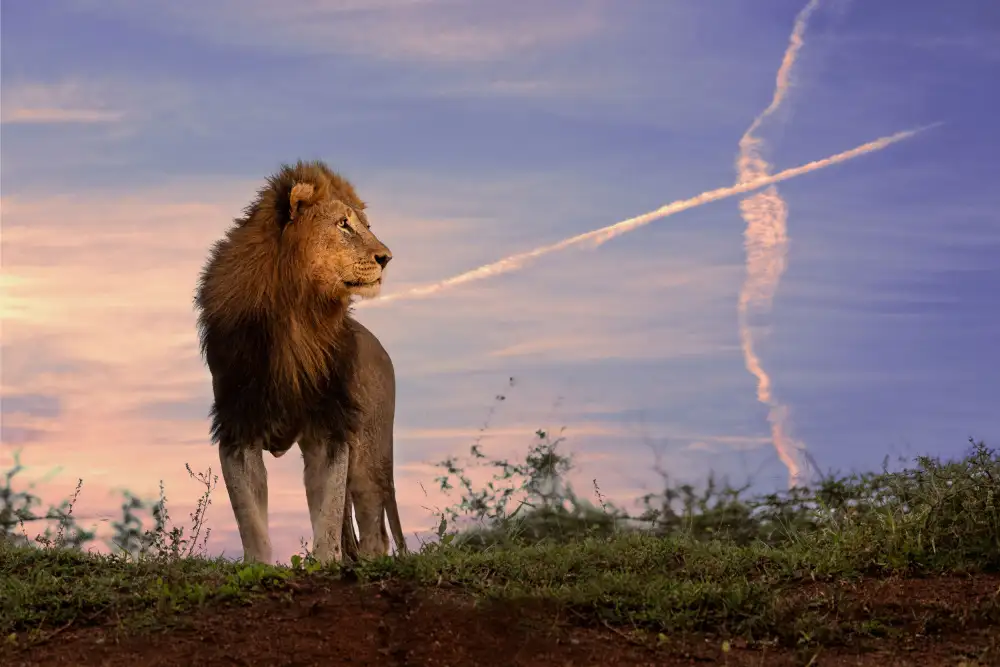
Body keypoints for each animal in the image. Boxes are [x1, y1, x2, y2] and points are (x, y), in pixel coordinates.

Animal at [194, 160, 407, 564]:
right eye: (343, 224)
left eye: (366, 225)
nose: (387, 258)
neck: (297, 314)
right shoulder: (238, 424)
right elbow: (250, 517)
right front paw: (259, 567)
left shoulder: (330, 425)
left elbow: (328, 511)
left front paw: (326, 563)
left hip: (370, 455)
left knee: (374, 532)